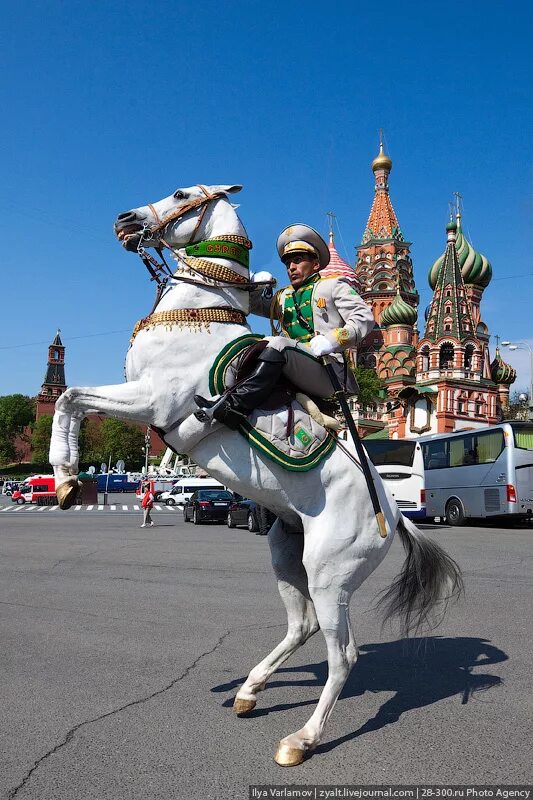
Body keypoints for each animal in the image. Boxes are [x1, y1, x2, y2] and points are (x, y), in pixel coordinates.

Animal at [50, 183, 462, 768]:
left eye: (182, 193)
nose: (124, 220)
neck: (199, 313)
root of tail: (393, 516)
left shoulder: (154, 402)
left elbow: (71, 397)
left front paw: (64, 479)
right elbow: (71, 399)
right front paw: (65, 479)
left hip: (329, 573)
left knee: (344, 655)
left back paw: (301, 739)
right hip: (287, 553)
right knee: (302, 625)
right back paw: (249, 689)